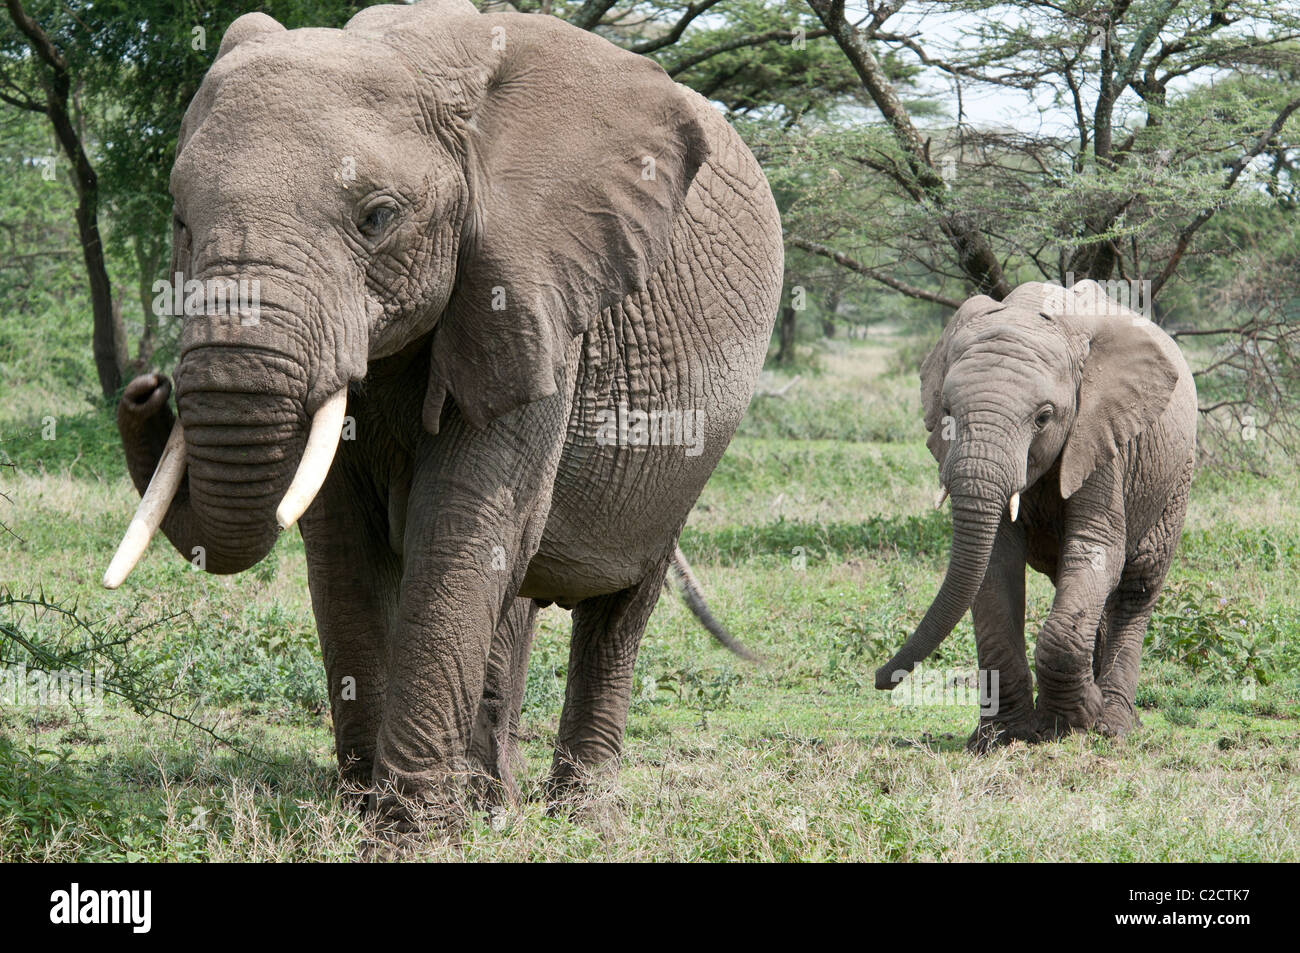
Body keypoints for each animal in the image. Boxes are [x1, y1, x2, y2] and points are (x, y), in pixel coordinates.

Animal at [104, 0, 783, 822]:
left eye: (377, 217)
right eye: (178, 220)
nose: (146, 390)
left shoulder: (532, 294)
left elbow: (461, 523)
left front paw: (408, 829)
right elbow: (343, 541)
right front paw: (362, 809)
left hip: (691, 453)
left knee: (618, 608)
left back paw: (577, 812)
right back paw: (495, 800)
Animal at [875, 279, 1196, 749]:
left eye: (1044, 417)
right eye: (947, 413)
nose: (880, 679)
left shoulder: (1099, 435)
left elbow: (1096, 549)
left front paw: (1075, 719)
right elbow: (993, 566)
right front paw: (1003, 736)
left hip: (1176, 474)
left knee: (1137, 584)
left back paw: (1115, 724)